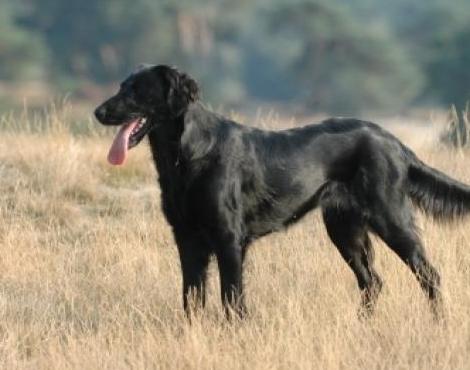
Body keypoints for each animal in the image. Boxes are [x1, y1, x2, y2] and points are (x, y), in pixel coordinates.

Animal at [94, 63, 470, 318]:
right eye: (122, 86)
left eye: (136, 90)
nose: (98, 112)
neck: (185, 155)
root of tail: (392, 140)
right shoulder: (187, 239)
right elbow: (192, 299)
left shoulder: (229, 239)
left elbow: (232, 298)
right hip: (344, 229)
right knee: (372, 282)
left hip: (391, 218)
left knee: (429, 275)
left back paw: (438, 322)